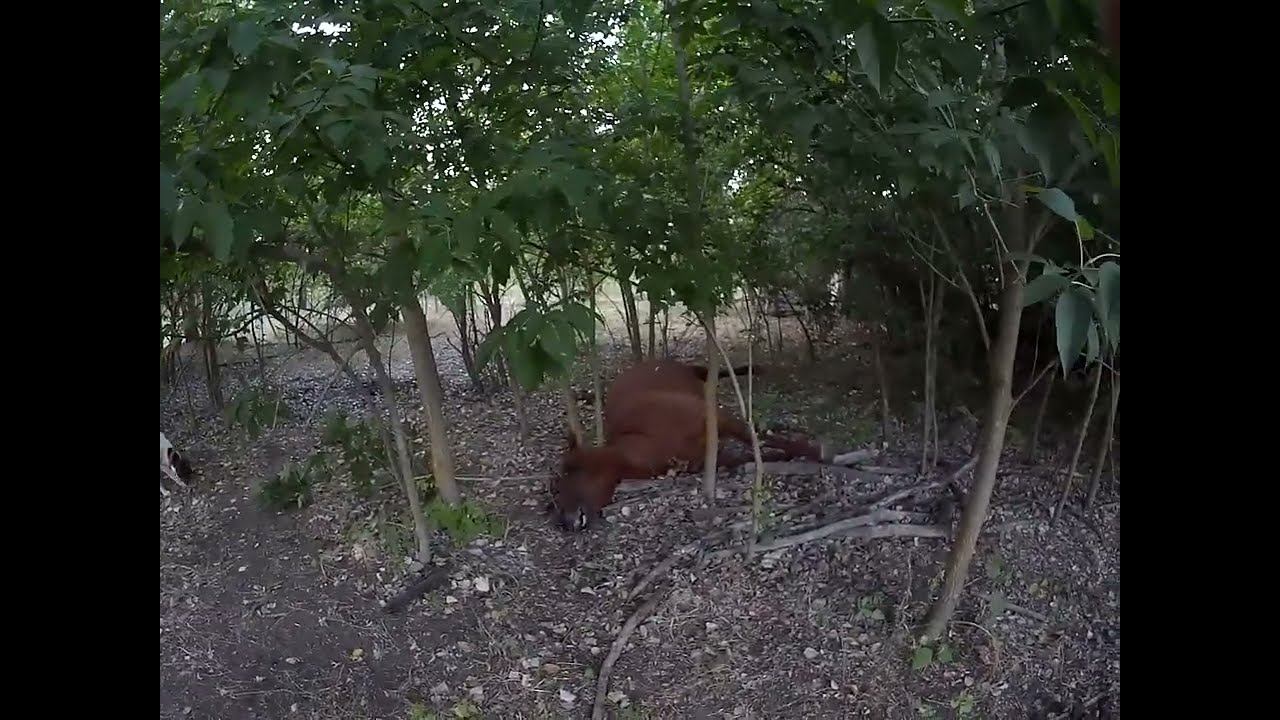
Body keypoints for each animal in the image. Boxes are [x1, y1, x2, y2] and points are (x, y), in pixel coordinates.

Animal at [549, 359, 821, 531]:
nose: (565, 522)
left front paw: (814, 452)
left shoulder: (715, 417)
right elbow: (747, 456)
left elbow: (757, 437)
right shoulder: (707, 457)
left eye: (565, 482)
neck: (648, 439)